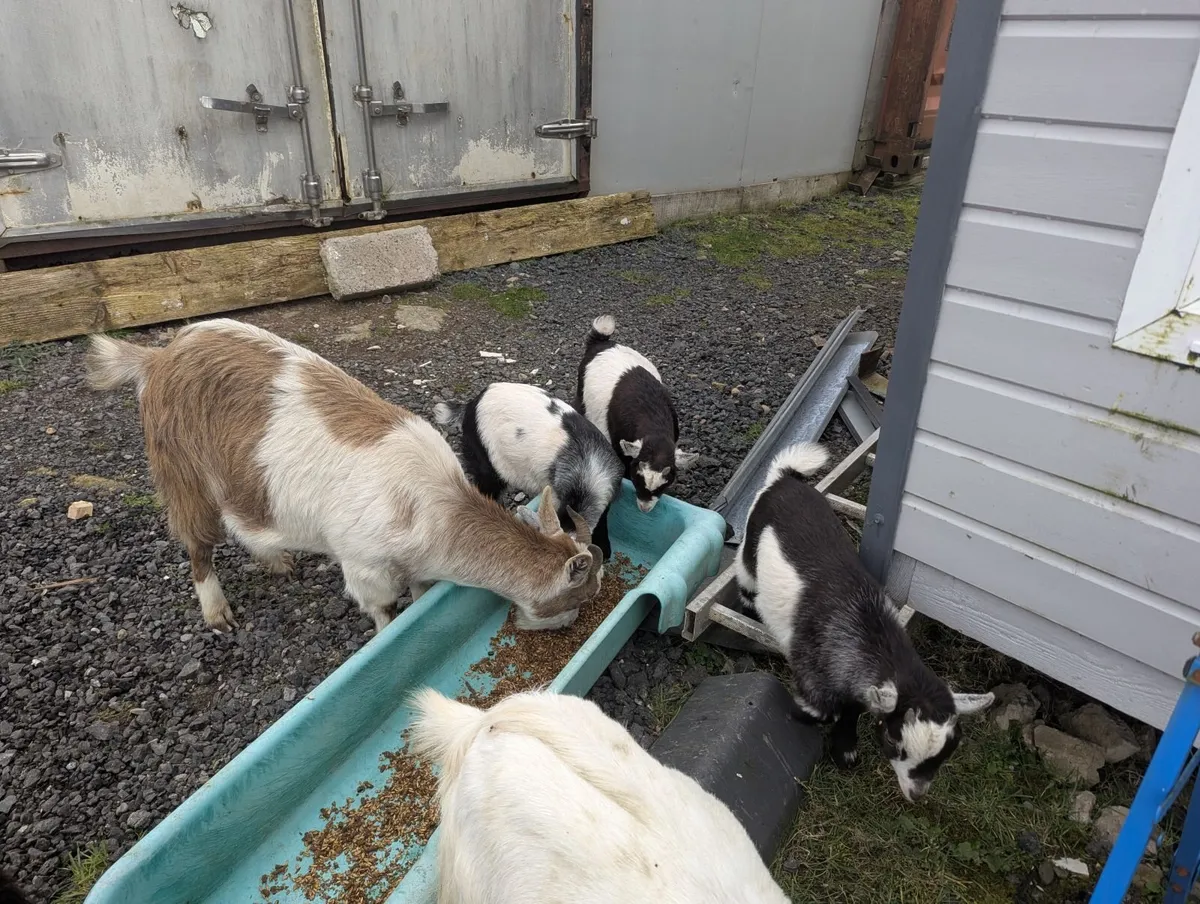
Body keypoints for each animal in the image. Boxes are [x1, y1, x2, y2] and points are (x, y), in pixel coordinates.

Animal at [85, 320, 602, 635]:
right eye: (572, 599)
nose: (573, 624)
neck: (434, 509)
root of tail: (158, 357)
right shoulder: (365, 566)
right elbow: (383, 608)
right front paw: (386, 636)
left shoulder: (415, 565)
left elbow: (419, 593)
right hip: (180, 467)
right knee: (197, 542)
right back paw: (218, 614)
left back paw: (276, 561)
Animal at [735, 442, 993, 802]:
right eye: (895, 742)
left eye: (947, 753)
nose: (916, 794)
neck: (867, 627)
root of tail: (784, 478)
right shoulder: (812, 666)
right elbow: (823, 708)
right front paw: (797, 717)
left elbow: (852, 709)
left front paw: (845, 751)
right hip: (751, 540)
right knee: (744, 574)